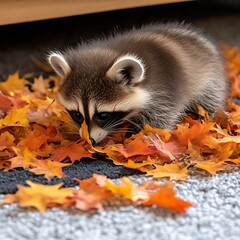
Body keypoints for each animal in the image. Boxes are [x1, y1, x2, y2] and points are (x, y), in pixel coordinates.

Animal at [47, 23, 228, 144]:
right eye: (77, 114)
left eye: (103, 115)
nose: (89, 140)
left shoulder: (164, 90)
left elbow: (159, 119)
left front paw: (142, 136)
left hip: (209, 77)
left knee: (209, 98)